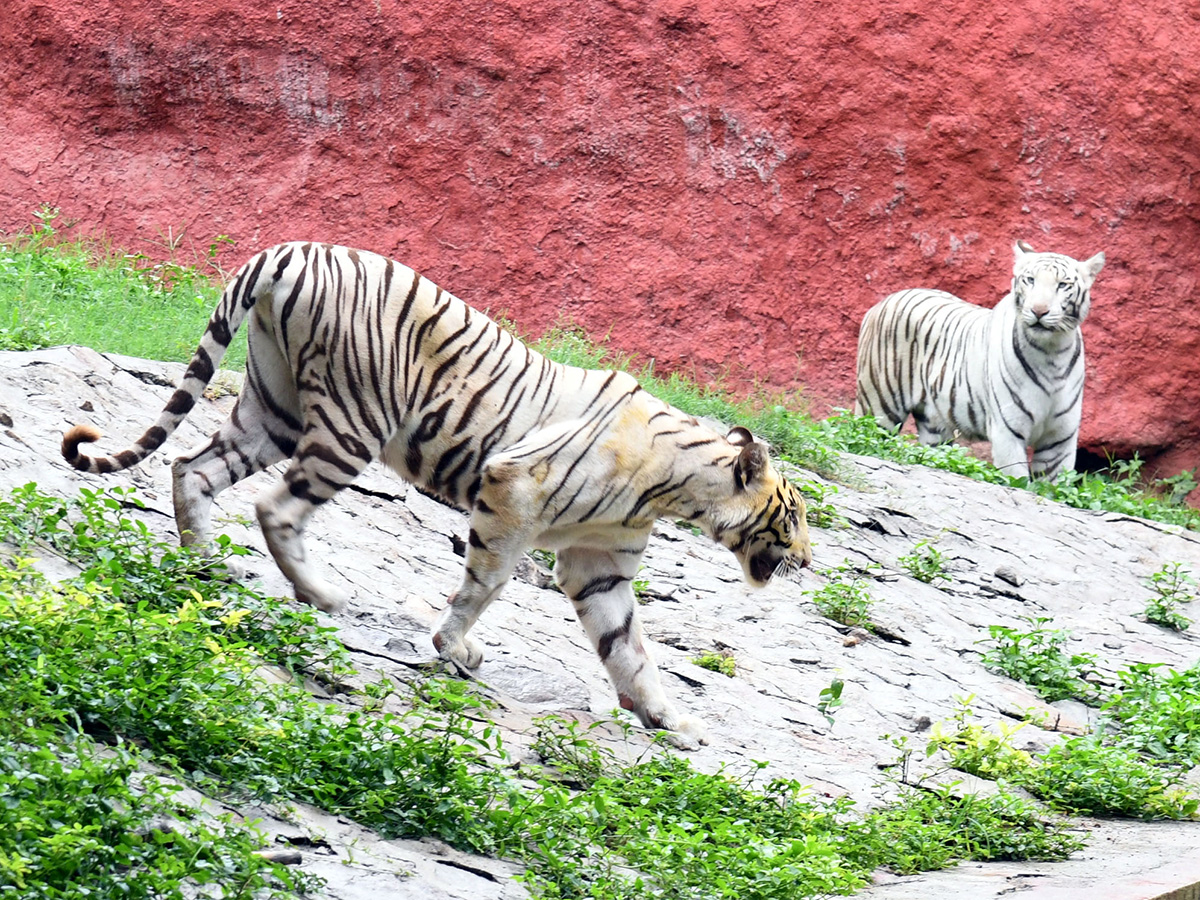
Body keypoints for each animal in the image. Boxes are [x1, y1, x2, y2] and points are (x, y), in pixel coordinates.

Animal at [61, 241, 812, 749]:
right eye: (797, 515)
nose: (807, 559)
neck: (679, 490)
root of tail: (292, 248)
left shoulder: (600, 564)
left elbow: (629, 646)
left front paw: (670, 719)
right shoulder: (513, 490)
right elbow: (485, 583)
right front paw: (455, 647)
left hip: (272, 410)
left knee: (193, 467)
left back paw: (204, 564)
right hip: (351, 421)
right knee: (276, 505)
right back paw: (323, 594)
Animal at [854, 241, 1106, 479]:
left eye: (1063, 285)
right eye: (1030, 280)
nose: (1039, 310)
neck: (1052, 352)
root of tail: (883, 301)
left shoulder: (1060, 439)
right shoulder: (1008, 432)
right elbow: (1018, 481)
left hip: (934, 425)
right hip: (879, 406)